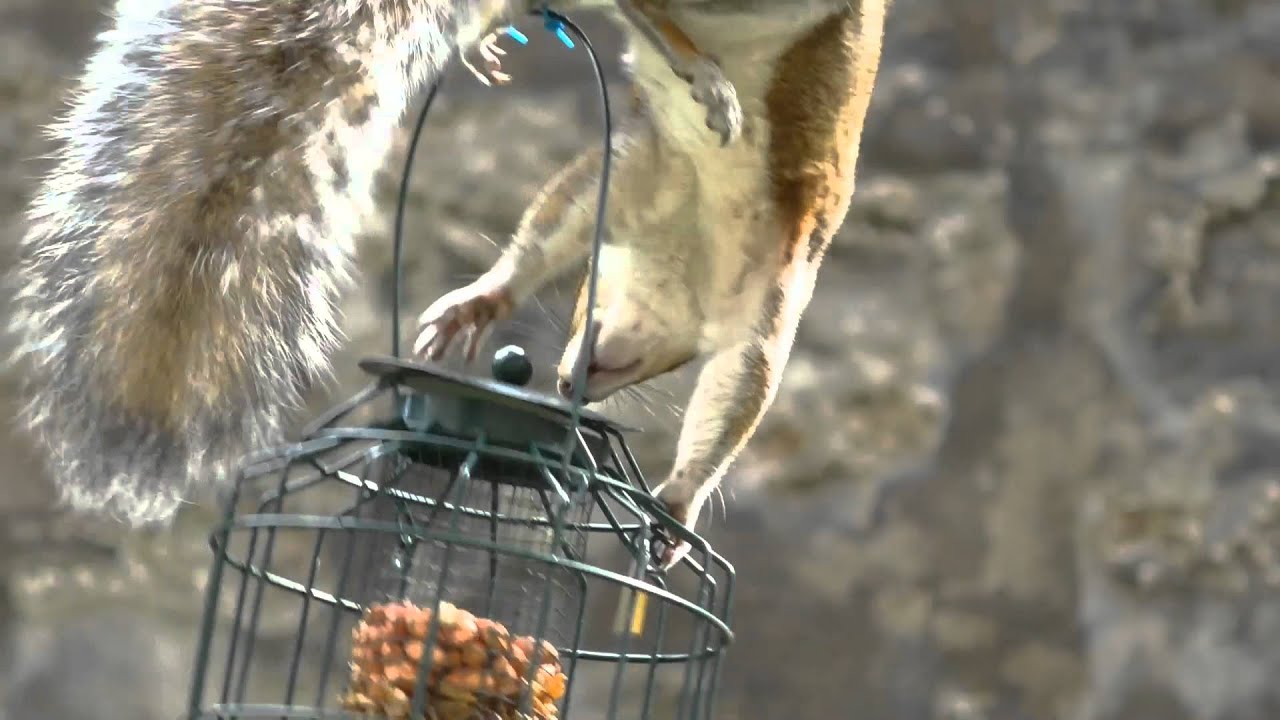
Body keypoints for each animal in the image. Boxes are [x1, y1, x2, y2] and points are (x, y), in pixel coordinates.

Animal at [415, 0, 888, 566]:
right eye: (583, 295)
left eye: (673, 363)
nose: (568, 386)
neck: (681, 252)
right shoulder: (644, 176)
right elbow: (557, 218)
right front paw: (482, 298)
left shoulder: (753, 275)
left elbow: (741, 372)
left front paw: (681, 502)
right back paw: (690, 63)